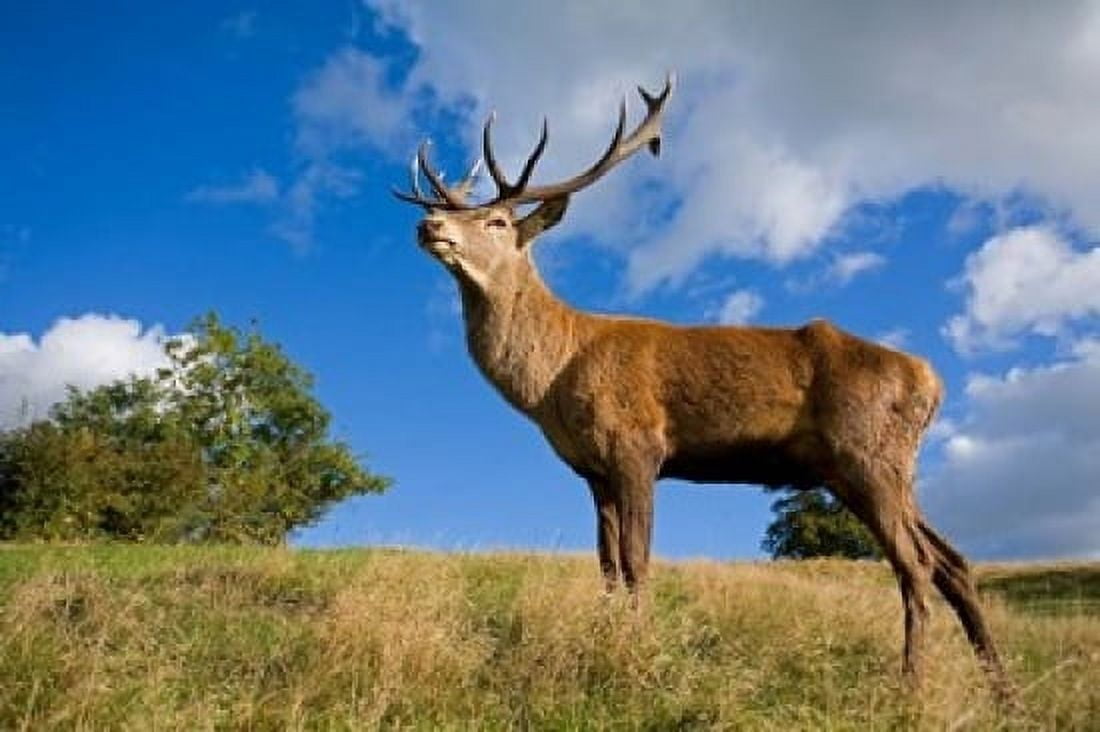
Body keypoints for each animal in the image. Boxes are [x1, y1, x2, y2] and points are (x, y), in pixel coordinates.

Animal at [393, 76, 1008, 693]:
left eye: (497, 221)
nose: (428, 226)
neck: (554, 379)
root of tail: (931, 380)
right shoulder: (592, 470)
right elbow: (606, 565)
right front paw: (606, 642)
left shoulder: (637, 444)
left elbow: (636, 560)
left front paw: (638, 656)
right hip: (874, 469)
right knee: (953, 560)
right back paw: (1001, 690)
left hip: (866, 452)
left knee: (915, 563)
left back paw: (912, 684)